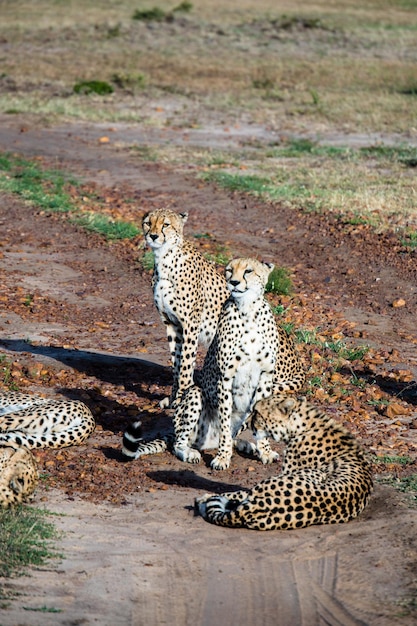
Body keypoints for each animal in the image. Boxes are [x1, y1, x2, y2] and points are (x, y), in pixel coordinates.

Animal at [122, 256, 304, 466]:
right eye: (229, 270)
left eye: (248, 271)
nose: (234, 282)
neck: (248, 310)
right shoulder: (225, 377)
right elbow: (224, 422)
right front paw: (223, 457)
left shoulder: (266, 376)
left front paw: (264, 451)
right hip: (194, 396)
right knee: (179, 442)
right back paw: (192, 452)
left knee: (233, 435)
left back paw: (245, 446)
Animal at [142, 207, 229, 408]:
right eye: (148, 223)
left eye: (166, 224)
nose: (153, 236)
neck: (164, 259)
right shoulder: (172, 324)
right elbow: (176, 362)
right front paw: (174, 396)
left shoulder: (190, 323)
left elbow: (186, 363)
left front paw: (182, 397)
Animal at [193, 392, 372, 528]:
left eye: (257, 412)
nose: (248, 423)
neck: (302, 426)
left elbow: (237, 491)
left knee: (238, 495)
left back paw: (203, 499)